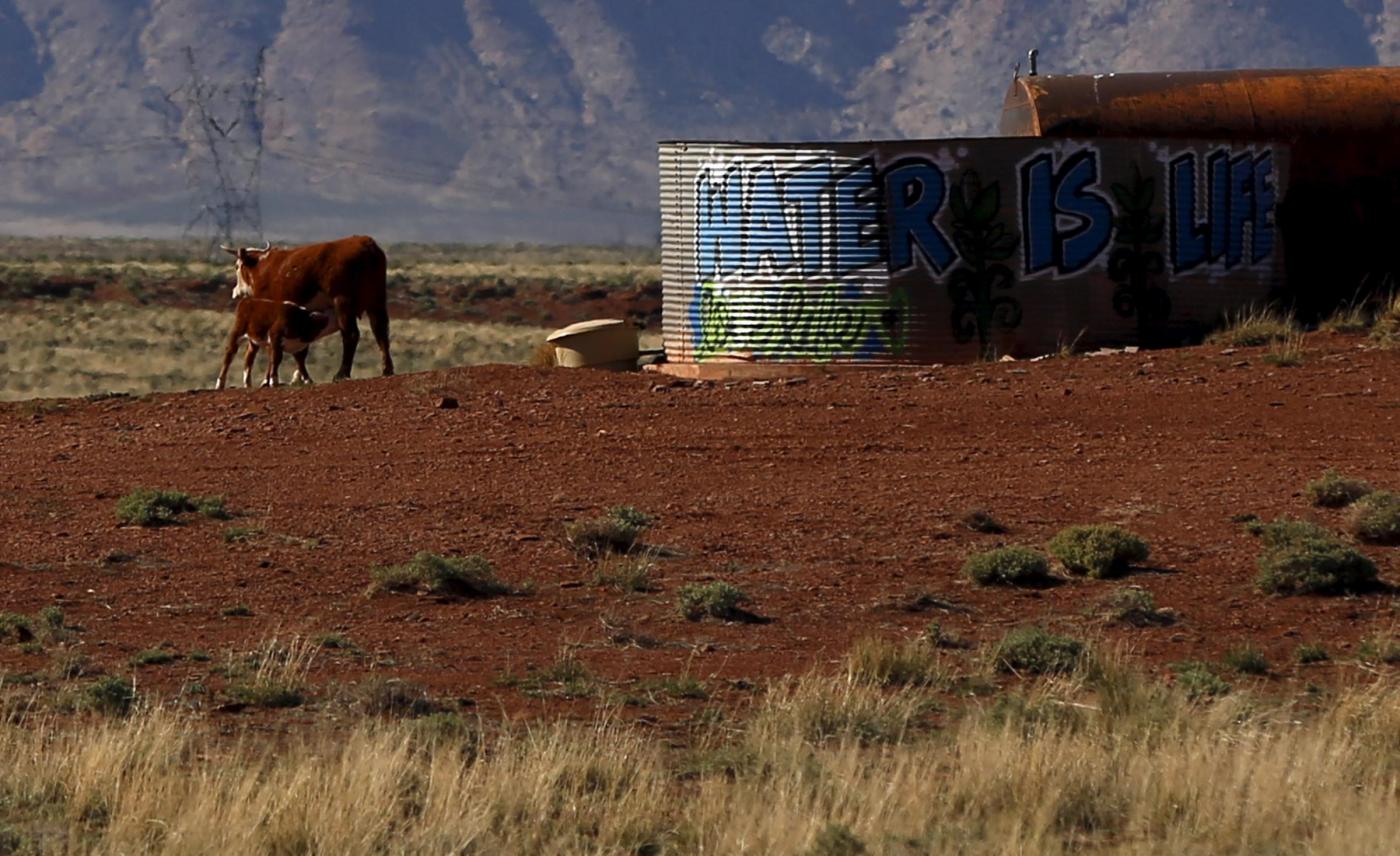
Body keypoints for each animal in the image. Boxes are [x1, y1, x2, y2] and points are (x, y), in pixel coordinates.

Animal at [222, 236, 394, 381]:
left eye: (236, 266)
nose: (235, 292)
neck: (262, 267)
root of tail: (367, 244)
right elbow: (300, 351)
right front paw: (298, 377)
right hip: (376, 302)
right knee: (380, 331)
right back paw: (387, 369)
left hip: (343, 302)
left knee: (351, 334)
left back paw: (342, 373)